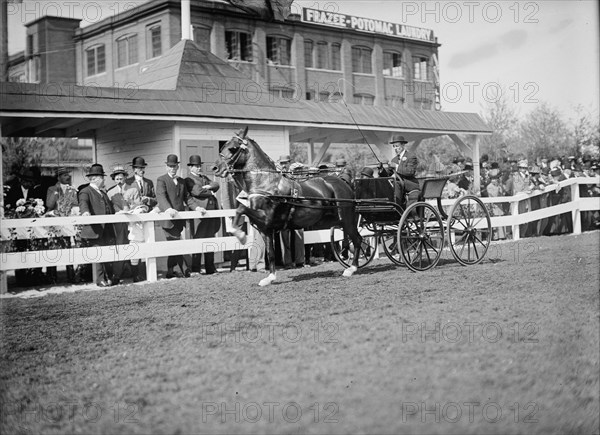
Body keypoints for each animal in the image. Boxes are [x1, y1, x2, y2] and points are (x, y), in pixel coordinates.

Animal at [213, 126, 364, 286]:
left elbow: (241, 209)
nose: (215, 167)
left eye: (233, 148)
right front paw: (270, 277)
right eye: (223, 146)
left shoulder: (266, 218)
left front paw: (240, 235)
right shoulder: (265, 228)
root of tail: (344, 183)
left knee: (357, 239)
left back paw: (351, 268)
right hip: (337, 221)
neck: (265, 183)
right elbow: (270, 253)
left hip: (347, 219)